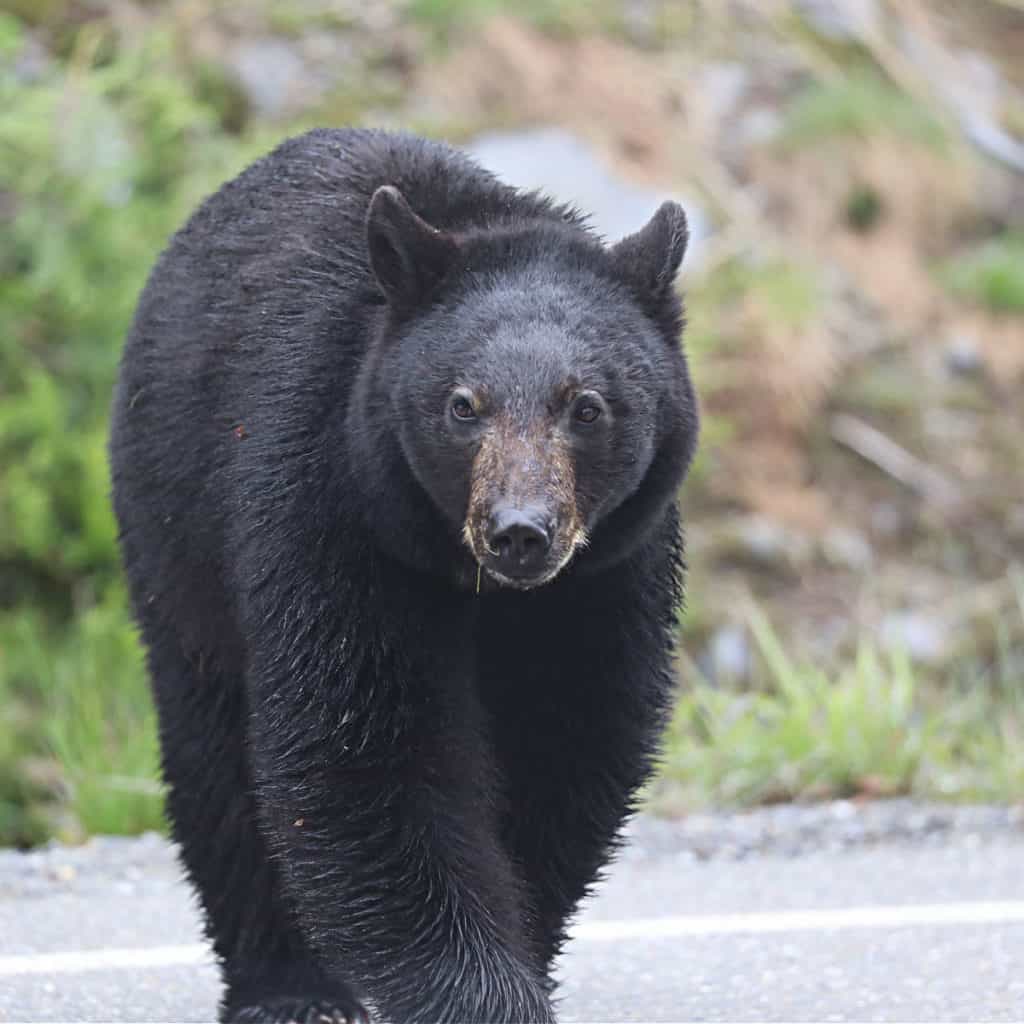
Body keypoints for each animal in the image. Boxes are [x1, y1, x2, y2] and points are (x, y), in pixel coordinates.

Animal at [112, 130, 700, 1024]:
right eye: (464, 404)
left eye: (587, 406)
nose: (520, 532)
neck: (475, 583)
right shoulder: (330, 510)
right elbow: (368, 752)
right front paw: (484, 996)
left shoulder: (605, 574)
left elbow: (568, 736)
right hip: (176, 532)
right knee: (215, 751)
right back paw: (288, 989)